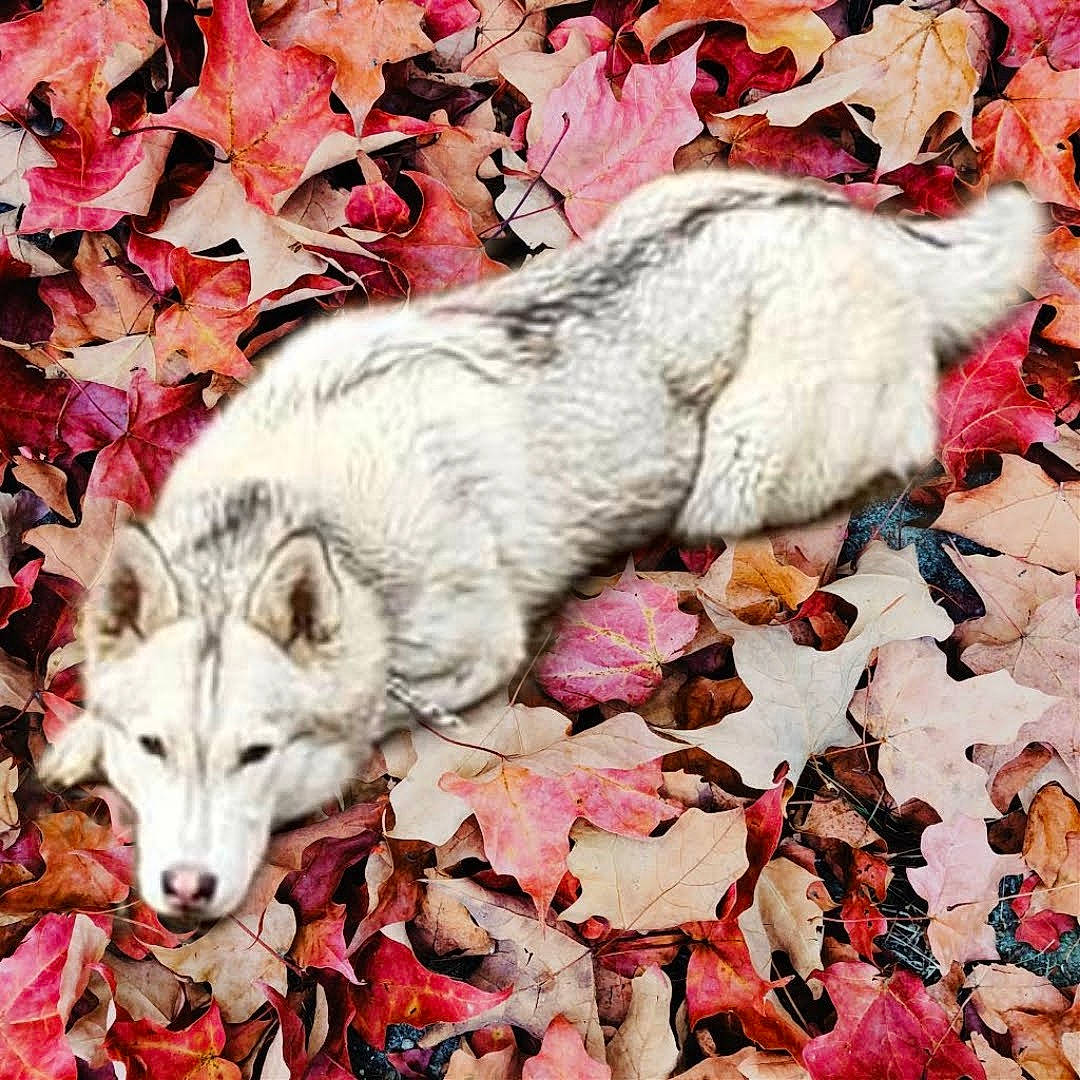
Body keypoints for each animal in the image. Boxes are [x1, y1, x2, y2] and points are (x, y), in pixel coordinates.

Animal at [39, 169, 1041, 919]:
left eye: (256, 754)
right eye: (153, 746)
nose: (186, 888)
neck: (301, 512)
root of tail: (876, 234)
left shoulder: (477, 642)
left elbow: (389, 701)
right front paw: (77, 742)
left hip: (735, 469)